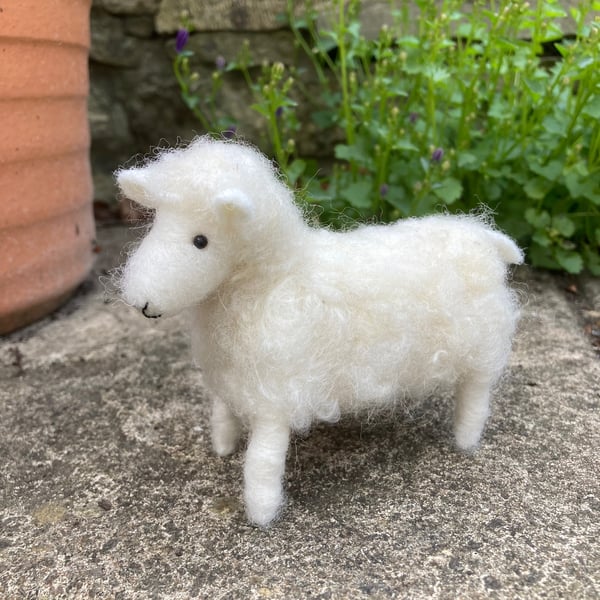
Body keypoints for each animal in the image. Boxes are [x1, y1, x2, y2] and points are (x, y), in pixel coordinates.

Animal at [115, 135, 524, 524]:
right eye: (157, 224)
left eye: (201, 241)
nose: (141, 302)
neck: (273, 283)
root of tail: (484, 237)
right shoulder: (227, 380)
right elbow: (222, 418)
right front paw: (222, 450)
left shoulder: (275, 400)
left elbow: (262, 463)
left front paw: (262, 514)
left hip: (481, 352)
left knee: (475, 399)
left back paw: (466, 441)